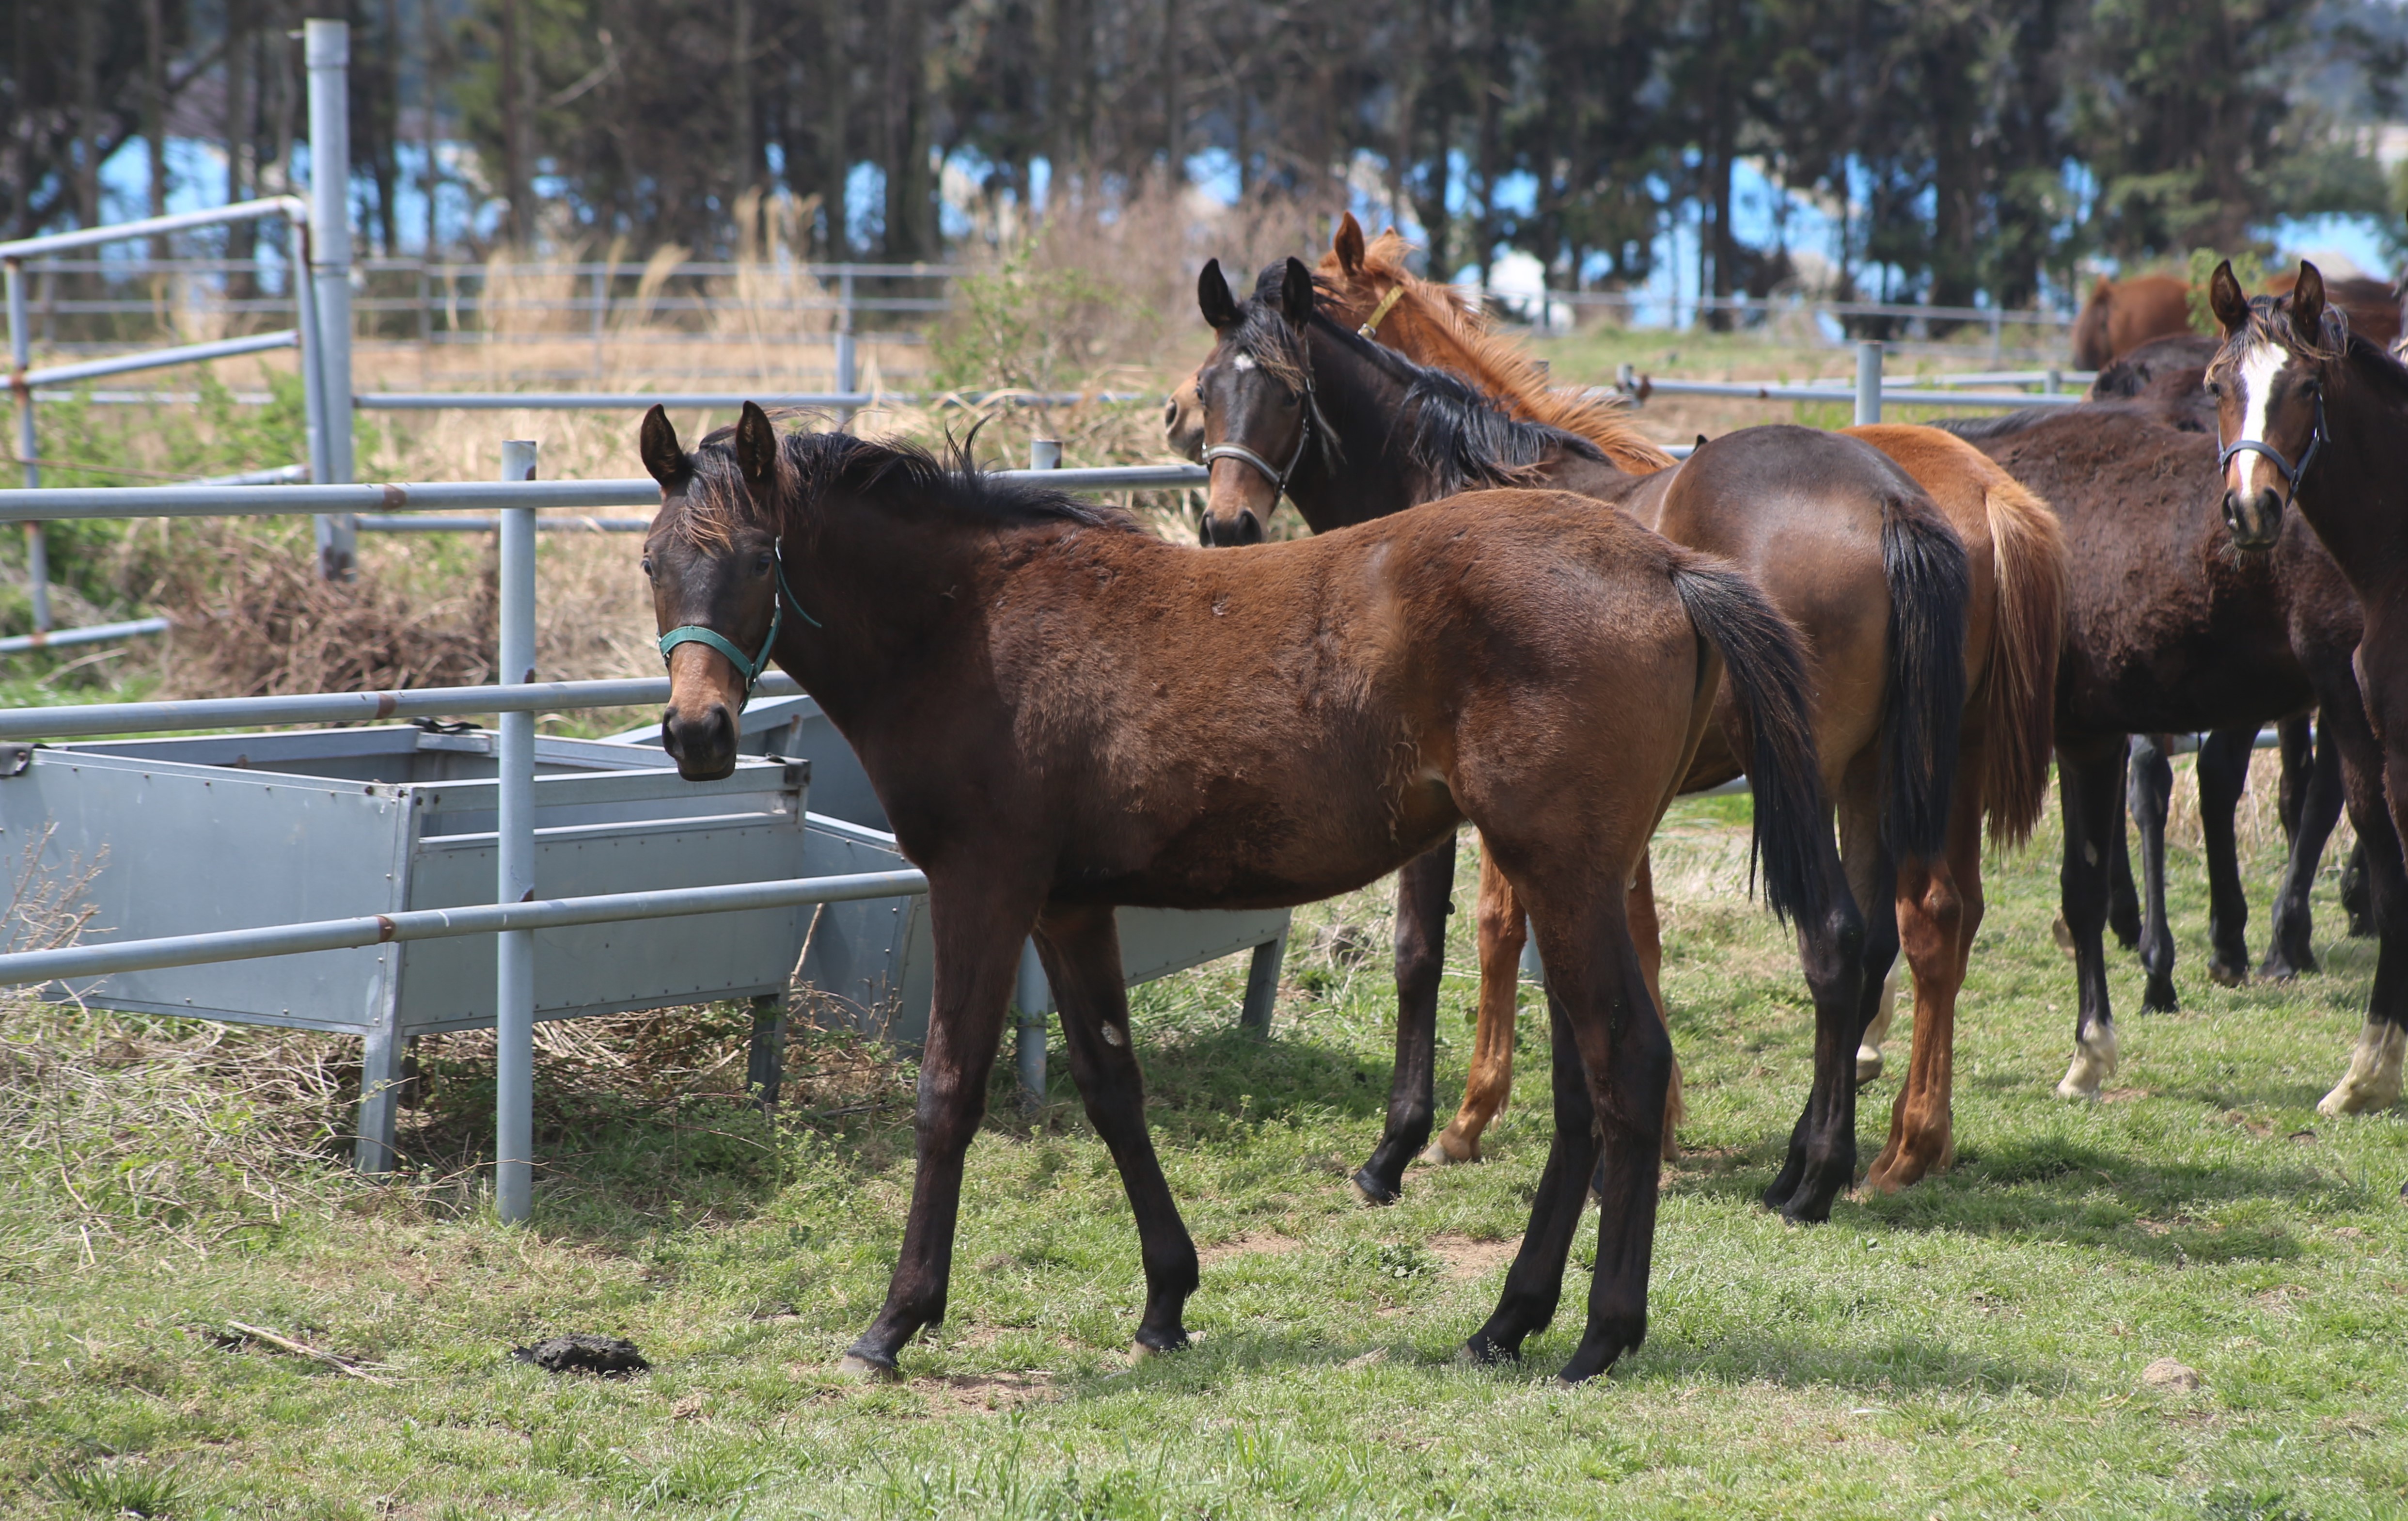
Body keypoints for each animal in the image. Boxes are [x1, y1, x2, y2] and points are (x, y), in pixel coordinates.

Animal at [640, 397, 1820, 1386]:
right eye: (654, 561)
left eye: (757, 557)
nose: (697, 736)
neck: (969, 625)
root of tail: (1666, 565)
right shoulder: (1068, 903)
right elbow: (1111, 1086)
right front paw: (1166, 1300)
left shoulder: (983, 886)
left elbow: (947, 1094)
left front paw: (895, 1321)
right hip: (1569, 878)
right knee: (1587, 1086)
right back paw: (1507, 1322)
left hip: (1562, 872)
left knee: (1628, 1064)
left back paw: (1599, 1334)